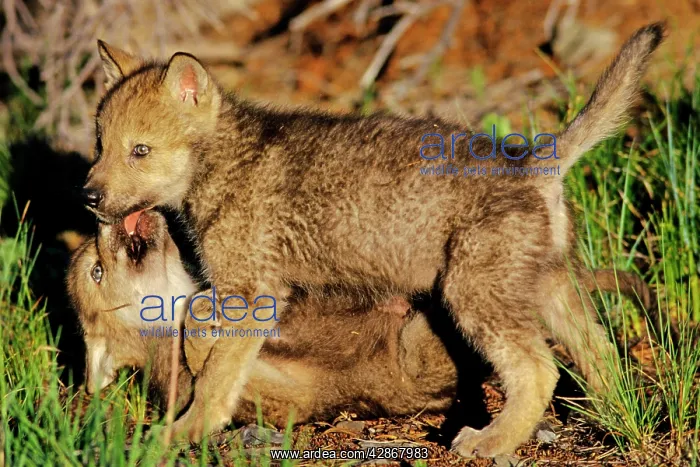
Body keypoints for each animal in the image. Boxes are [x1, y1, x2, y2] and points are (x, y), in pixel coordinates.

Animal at [83, 22, 665, 456]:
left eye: (140, 151)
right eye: (100, 145)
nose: (88, 196)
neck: (222, 162)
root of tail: (533, 163)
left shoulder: (250, 293)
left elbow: (212, 375)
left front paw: (182, 432)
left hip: (472, 293)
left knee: (540, 369)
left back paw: (489, 440)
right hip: (544, 286)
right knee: (600, 351)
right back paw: (617, 417)